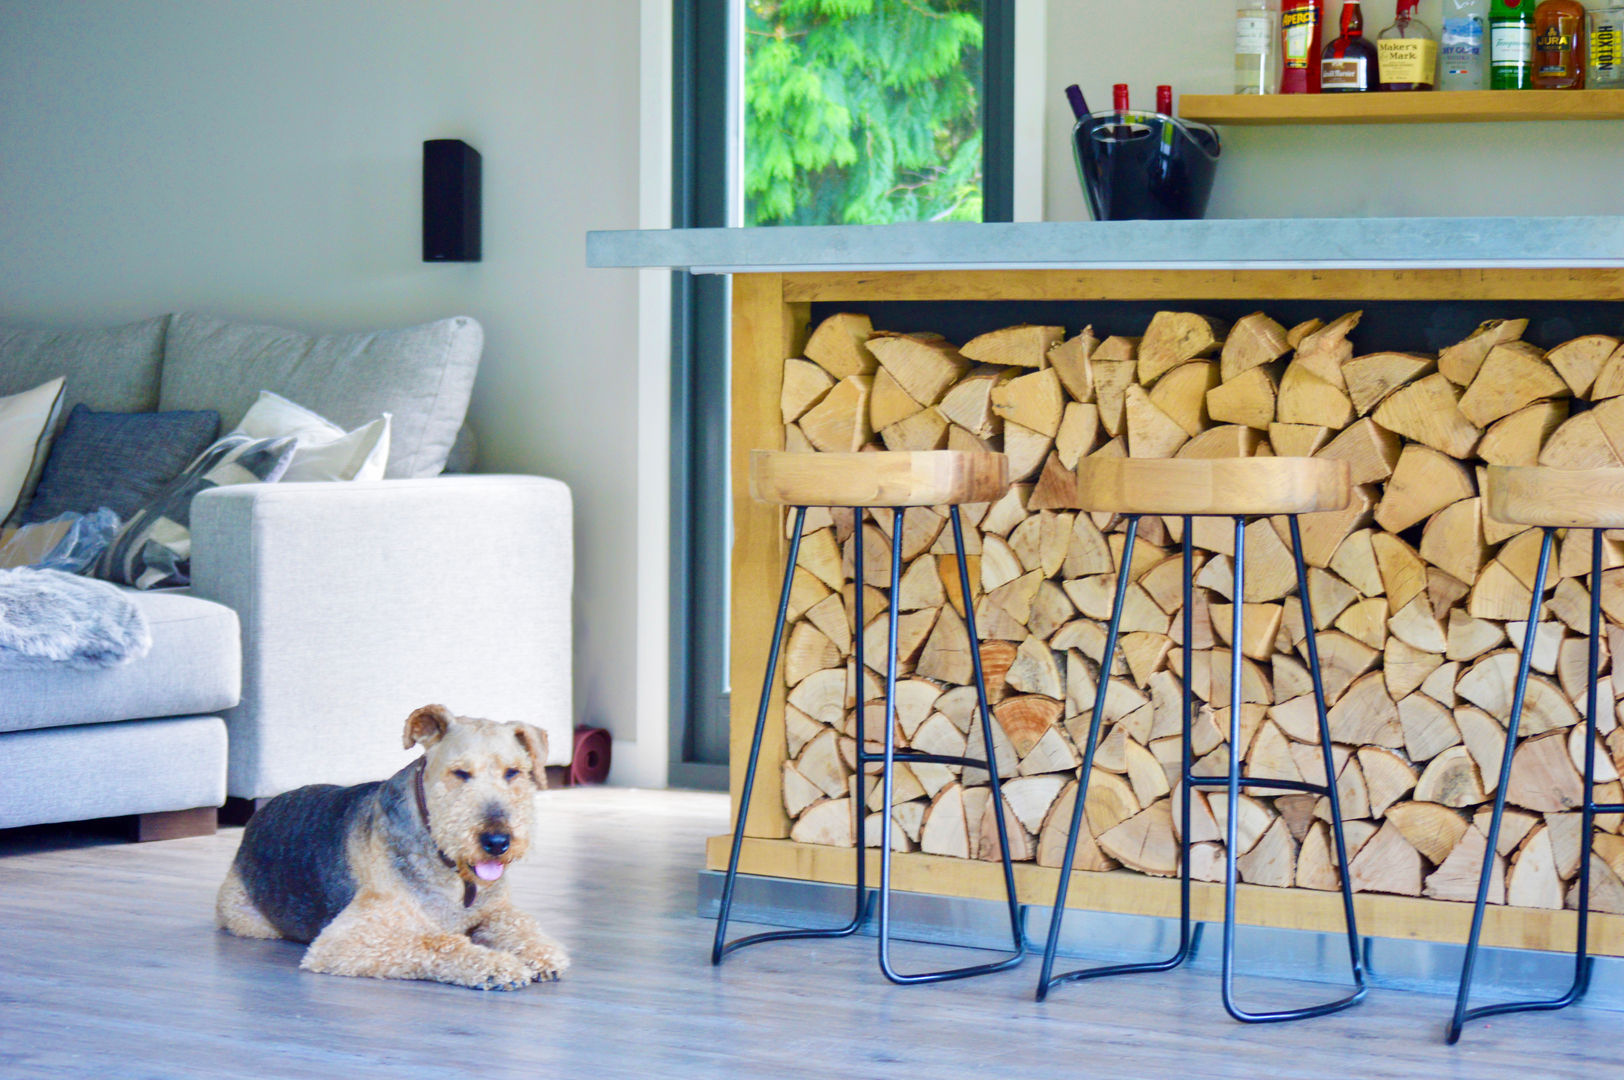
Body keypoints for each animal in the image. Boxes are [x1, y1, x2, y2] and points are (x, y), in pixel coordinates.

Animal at [215, 704, 571, 987]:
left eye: (514, 772)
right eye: (460, 773)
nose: (497, 842)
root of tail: (261, 814)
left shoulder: (496, 911)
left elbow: (519, 923)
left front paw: (544, 953)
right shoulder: (348, 938)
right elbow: (436, 943)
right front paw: (499, 966)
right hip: (250, 919)